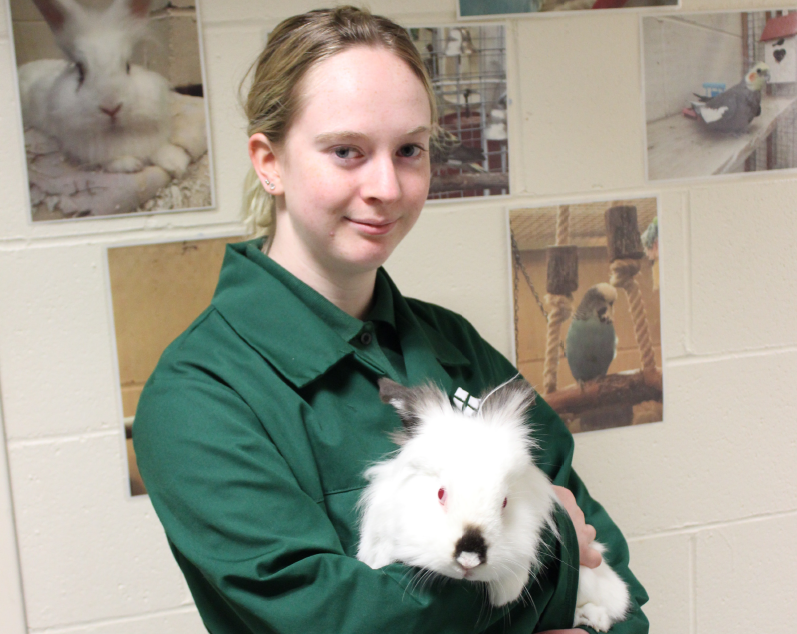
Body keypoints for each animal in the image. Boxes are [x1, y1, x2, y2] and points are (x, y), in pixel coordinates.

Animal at [17, 0, 190, 177]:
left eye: (128, 66)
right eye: (80, 71)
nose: (111, 108)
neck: (117, 132)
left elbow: (160, 149)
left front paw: (176, 163)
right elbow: (111, 160)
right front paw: (130, 164)